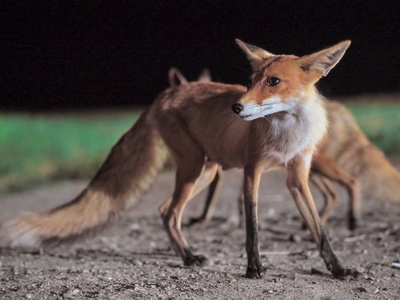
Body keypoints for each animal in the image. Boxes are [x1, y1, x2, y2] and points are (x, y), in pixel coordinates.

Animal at [0, 39, 362, 278]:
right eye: (249, 82)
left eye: (273, 82)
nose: (236, 107)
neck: (286, 132)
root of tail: (166, 93)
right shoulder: (252, 171)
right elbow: (253, 228)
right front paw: (254, 267)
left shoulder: (297, 176)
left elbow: (320, 231)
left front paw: (338, 269)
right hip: (193, 167)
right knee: (171, 211)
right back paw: (189, 258)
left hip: (205, 170)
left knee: (164, 210)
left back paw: (184, 254)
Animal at [169, 68, 400, 230]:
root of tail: (339, 109)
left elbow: (216, 199)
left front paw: (210, 221)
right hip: (310, 169)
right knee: (332, 194)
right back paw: (312, 225)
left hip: (318, 166)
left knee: (352, 183)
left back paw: (353, 221)